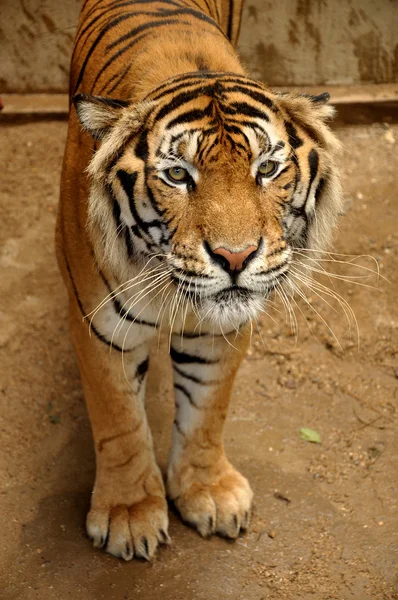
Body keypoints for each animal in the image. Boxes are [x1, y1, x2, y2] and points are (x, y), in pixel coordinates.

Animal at [56, 0, 342, 560]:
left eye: (267, 168)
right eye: (177, 175)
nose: (236, 256)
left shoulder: (219, 330)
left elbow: (208, 408)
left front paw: (208, 491)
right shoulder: (99, 325)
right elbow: (118, 419)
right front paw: (129, 514)